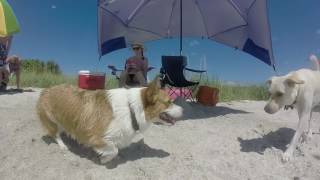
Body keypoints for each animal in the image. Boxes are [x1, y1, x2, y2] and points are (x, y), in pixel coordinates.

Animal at [37, 76, 182, 164]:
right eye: (169, 102)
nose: (183, 110)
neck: (131, 109)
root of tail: (46, 90)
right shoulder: (94, 137)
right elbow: (113, 149)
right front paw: (105, 160)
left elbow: (115, 147)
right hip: (52, 120)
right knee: (55, 134)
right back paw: (63, 145)